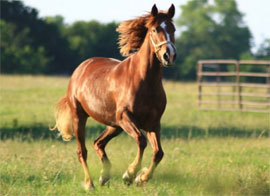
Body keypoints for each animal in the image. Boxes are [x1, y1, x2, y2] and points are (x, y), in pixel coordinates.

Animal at [51, 3, 176, 189]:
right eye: (154, 29)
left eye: (173, 29)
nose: (169, 55)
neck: (144, 81)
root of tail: (81, 68)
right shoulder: (126, 117)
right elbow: (141, 141)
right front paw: (129, 174)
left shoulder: (153, 123)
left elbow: (158, 153)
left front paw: (141, 178)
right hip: (81, 117)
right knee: (82, 151)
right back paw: (90, 183)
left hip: (114, 125)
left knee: (98, 143)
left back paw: (104, 177)